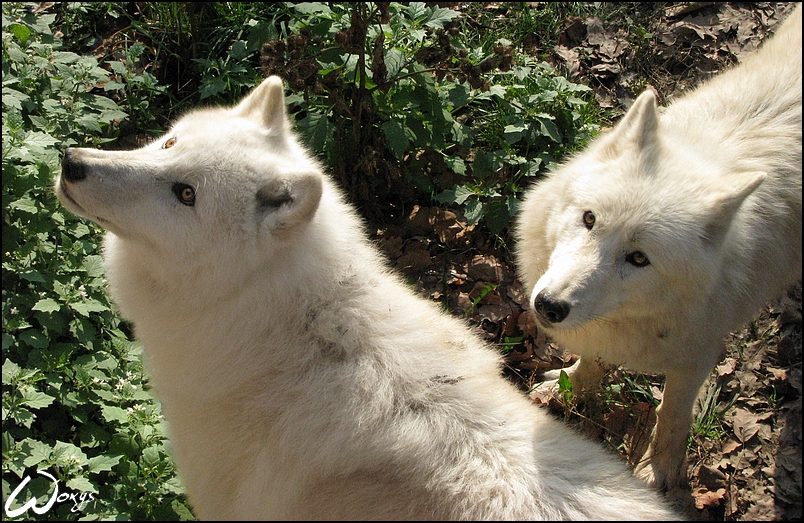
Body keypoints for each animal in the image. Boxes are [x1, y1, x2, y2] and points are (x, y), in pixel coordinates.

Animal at [520, 6, 800, 494]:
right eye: (589, 219)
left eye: (639, 259)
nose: (549, 306)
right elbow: (592, 360)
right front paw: (569, 388)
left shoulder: (699, 355)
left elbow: (671, 416)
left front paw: (660, 472)